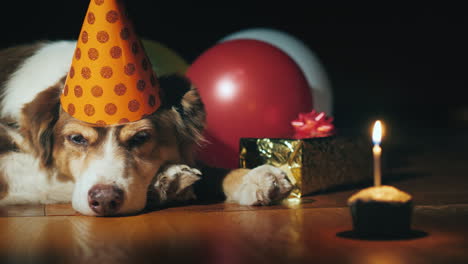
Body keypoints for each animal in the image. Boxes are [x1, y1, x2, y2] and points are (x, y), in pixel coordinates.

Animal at [0, 40, 292, 216]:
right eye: (77, 139)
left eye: (141, 137)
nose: (104, 200)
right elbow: (51, 177)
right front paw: (168, 181)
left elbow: (209, 168)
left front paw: (251, 177)